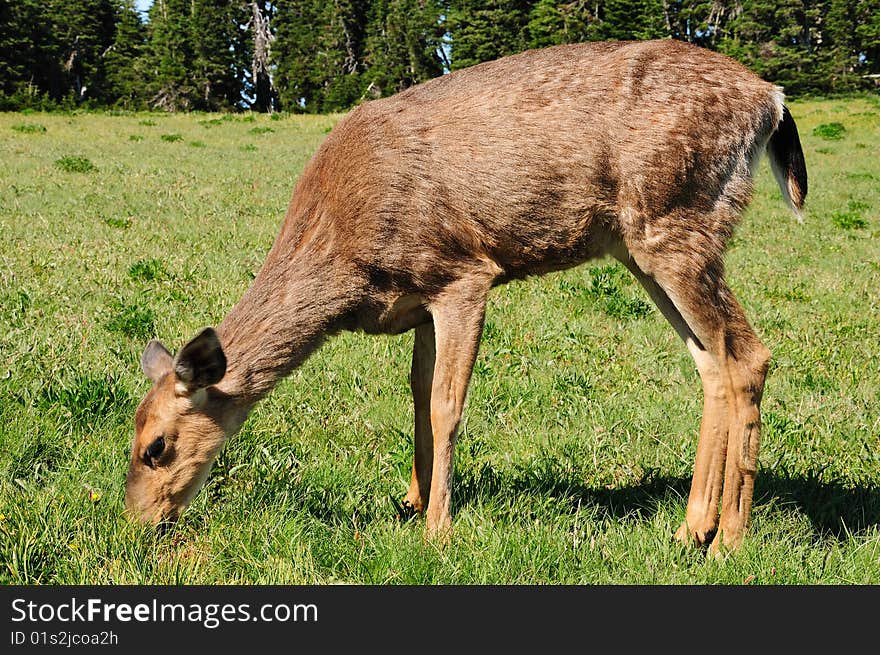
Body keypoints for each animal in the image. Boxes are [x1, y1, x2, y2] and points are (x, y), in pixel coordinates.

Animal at [127, 39, 808, 552]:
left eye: (156, 446)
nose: (137, 521)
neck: (346, 267)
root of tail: (771, 100)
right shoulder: (418, 302)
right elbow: (416, 394)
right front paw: (411, 500)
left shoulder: (463, 275)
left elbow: (446, 405)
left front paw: (438, 529)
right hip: (645, 245)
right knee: (712, 361)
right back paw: (692, 527)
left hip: (677, 223)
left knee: (749, 356)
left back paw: (728, 540)